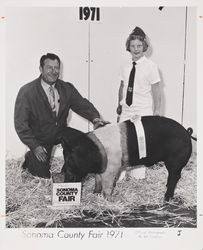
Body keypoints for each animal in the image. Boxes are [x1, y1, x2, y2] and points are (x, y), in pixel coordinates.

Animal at [59, 115, 192, 201]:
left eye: (70, 161)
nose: (66, 181)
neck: (95, 150)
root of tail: (187, 132)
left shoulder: (111, 169)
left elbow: (107, 186)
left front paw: (109, 200)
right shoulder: (101, 170)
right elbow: (97, 181)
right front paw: (95, 193)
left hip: (176, 161)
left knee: (174, 177)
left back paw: (166, 198)